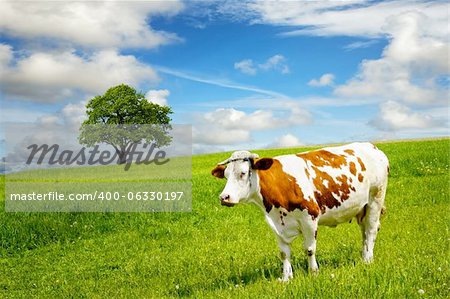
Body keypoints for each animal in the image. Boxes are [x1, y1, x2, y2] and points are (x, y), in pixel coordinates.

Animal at [211, 144, 386, 282]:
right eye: (226, 175)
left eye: (242, 173)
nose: (224, 197)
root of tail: (372, 147)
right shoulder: (275, 224)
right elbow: (284, 253)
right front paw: (286, 277)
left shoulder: (310, 218)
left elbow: (309, 249)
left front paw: (313, 272)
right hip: (362, 208)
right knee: (364, 232)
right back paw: (364, 255)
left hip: (375, 199)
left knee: (371, 230)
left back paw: (368, 260)